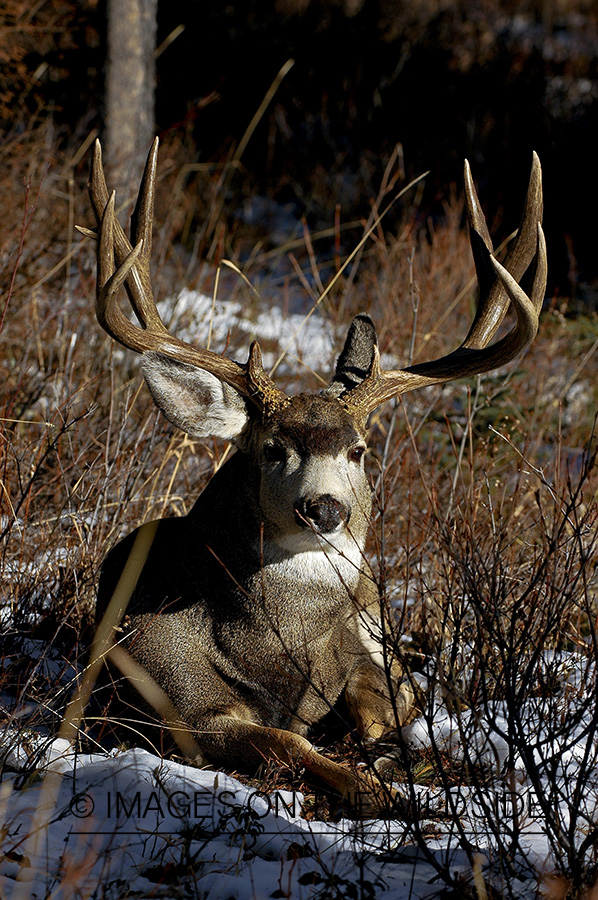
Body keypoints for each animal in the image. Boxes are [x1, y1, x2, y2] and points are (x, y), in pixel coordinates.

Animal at [80, 138, 546, 816]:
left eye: (358, 451)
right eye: (273, 449)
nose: (325, 508)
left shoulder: (365, 661)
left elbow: (381, 710)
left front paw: (399, 759)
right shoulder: (179, 704)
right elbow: (288, 743)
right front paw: (378, 790)